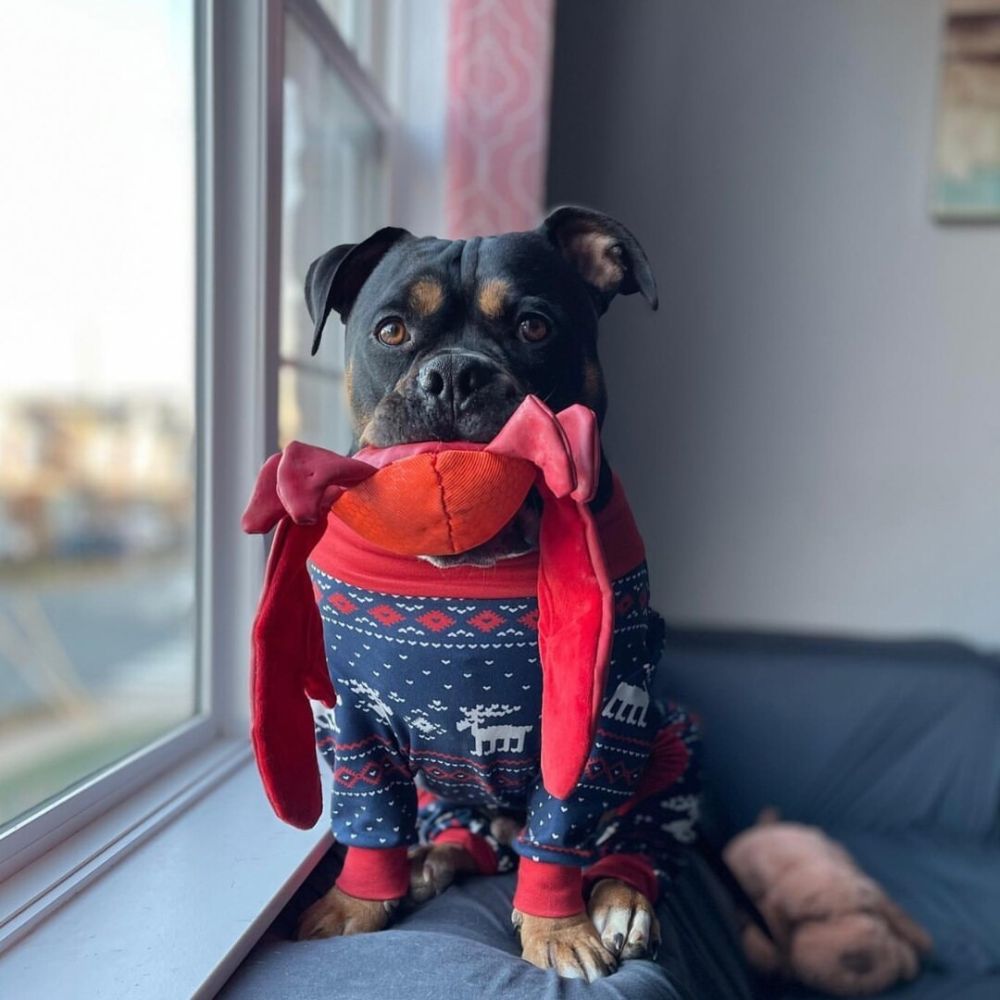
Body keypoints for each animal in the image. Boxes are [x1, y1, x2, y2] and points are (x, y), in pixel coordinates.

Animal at [288, 207, 696, 980]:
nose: (454, 373)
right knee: (459, 832)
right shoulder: (353, 722)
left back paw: (623, 900)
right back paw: (434, 858)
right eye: (392, 331)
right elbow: (369, 823)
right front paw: (355, 906)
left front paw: (558, 928)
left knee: (637, 843)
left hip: (673, 741)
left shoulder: (590, 728)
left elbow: (558, 835)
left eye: (535, 327)